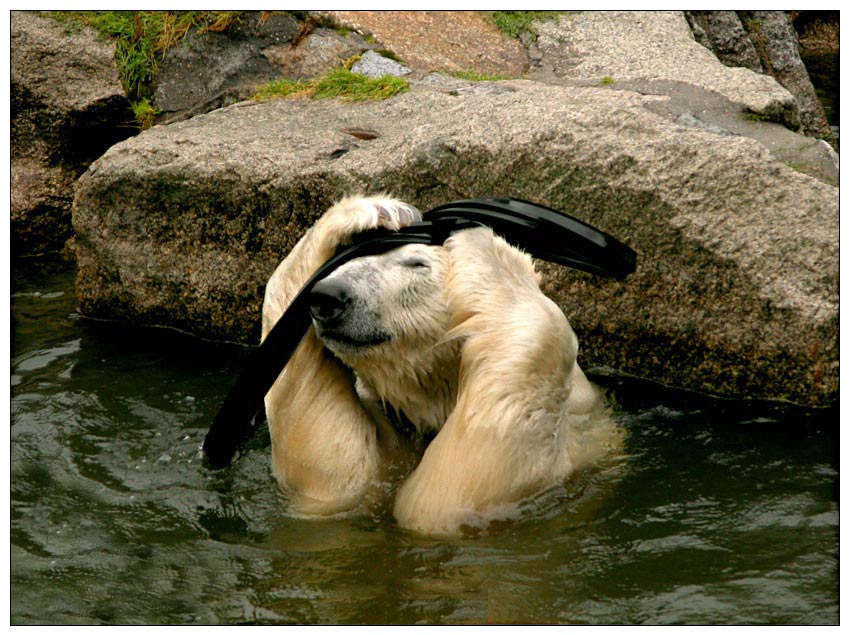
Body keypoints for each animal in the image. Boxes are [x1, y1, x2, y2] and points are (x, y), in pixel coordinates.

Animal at [260, 195, 624, 536]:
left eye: (416, 263)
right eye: (354, 257)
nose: (329, 295)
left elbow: (447, 492)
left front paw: (487, 245)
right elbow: (331, 465)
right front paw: (380, 210)